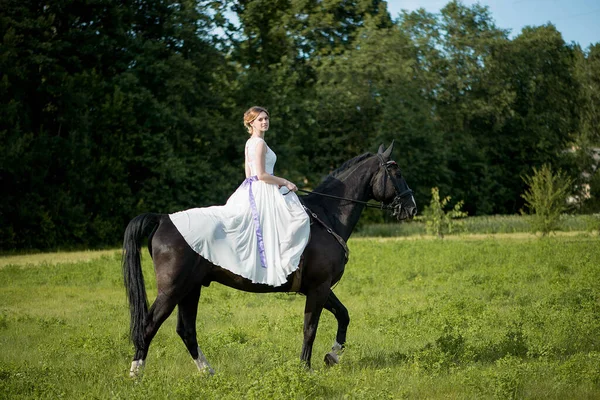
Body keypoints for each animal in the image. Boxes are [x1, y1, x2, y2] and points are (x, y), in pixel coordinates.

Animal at [123, 142, 414, 376]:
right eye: (397, 172)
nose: (411, 207)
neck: (327, 216)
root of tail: (163, 218)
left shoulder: (320, 288)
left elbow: (343, 315)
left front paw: (332, 355)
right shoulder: (318, 288)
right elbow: (310, 328)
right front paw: (305, 369)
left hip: (190, 289)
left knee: (186, 331)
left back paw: (208, 372)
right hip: (172, 289)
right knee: (149, 326)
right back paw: (136, 374)